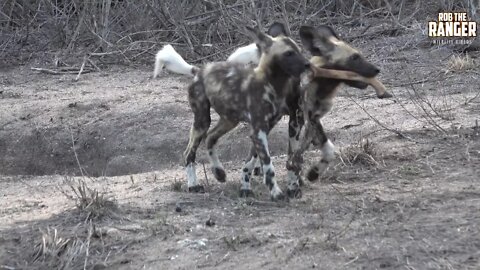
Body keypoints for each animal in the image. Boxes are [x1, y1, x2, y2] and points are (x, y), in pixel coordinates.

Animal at [182, 23, 310, 200]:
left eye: (299, 50)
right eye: (289, 53)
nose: (308, 64)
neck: (274, 86)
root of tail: (199, 70)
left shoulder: (278, 126)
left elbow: (265, 161)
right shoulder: (259, 131)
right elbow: (268, 165)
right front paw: (276, 193)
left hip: (229, 120)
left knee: (211, 137)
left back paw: (219, 172)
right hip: (202, 121)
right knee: (189, 153)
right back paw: (193, 184)